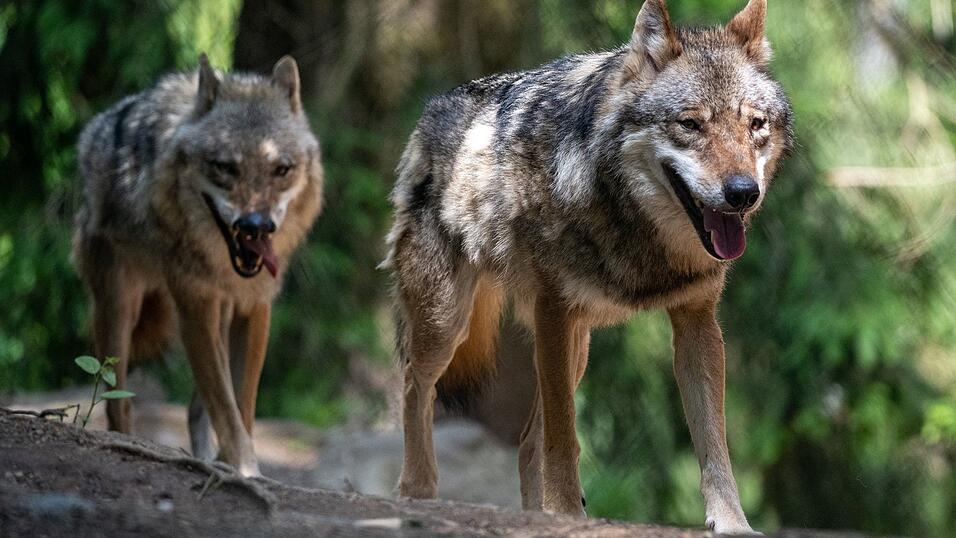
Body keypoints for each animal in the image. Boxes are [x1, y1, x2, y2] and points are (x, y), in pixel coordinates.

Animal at [73, 54, 323, 476]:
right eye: (225, 167)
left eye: (282, 169)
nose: (256, 226)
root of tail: (95, 129)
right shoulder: (195, 304)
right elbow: (225, 405)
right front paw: (243, 467)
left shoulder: (254, 307)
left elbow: (242, 404)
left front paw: (238, 465)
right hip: (119, 311)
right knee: (118, 402)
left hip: (217, 315)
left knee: (194, 409)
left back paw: (206, 458)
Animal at [385, 0, 792, 532]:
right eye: (690, 124)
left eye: (756, 125)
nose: (744, 193)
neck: (634, 225)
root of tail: (433, 109)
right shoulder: (555, 313)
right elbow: (565, 440)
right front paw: (565, 513)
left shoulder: (697, 322)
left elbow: (713, 445)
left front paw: (732, 523)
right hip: (448, 323)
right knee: (415, 385)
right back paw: (418, 491)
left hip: (575, 347)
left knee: (525, 442)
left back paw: (531, 517)